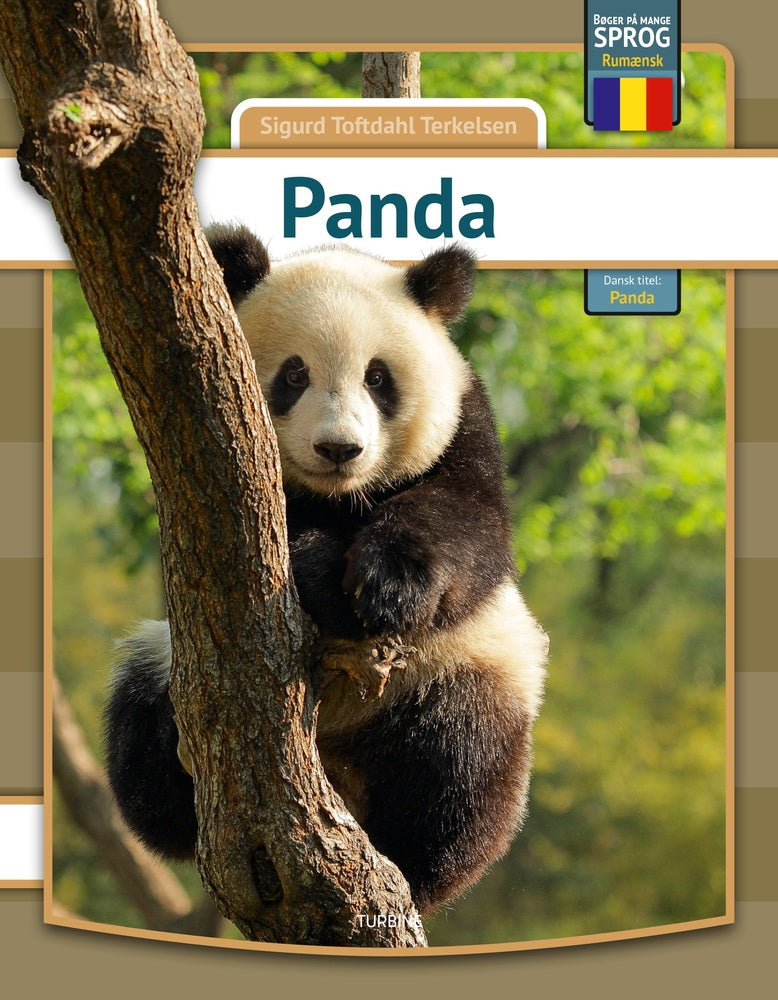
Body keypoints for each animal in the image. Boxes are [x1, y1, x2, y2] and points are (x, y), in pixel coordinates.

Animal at [105, 224, 548, 916]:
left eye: (377, 378)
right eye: (294, 373)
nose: (339, 449)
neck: (339, 498)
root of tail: (337, 771)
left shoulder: (465, 429)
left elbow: (469, 528)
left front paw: (381, 585)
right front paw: (318, 570)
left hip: (461, 669)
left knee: (463, 762)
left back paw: (414, 863)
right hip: (171, 659)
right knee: (142, 733)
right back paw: (177, 784)